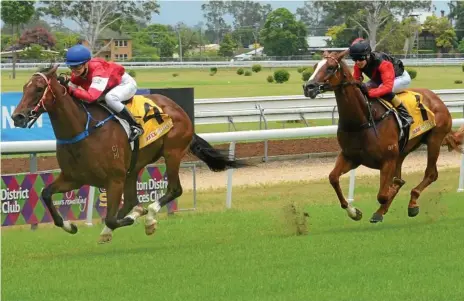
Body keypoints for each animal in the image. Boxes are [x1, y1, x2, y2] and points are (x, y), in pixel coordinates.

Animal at [10, 64, 246, 243]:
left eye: (39, 88)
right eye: (24, 87)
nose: (17, 117)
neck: (83, 130)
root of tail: (177, 107)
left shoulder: (113, 180)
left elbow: (111, 218)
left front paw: (139, 217)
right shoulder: (74, 178)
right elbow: (46, 194)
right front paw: (70, 226)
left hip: (172, 152)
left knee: (174, 189)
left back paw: (149, 217)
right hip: (134, 167)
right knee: (131, 200)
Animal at [302, 50, 462, 221]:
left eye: (331, 67)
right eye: (315, 66)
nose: (308, 87)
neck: (363, 120)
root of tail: (436, 97)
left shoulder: (387, 160)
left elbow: (383, 194)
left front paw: (392, 191)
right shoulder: (350, 157)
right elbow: (333, 178)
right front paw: (354, 212)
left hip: (434, 140)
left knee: (431, 174)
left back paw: (412, 204)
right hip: (403, 151)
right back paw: (381, 211)